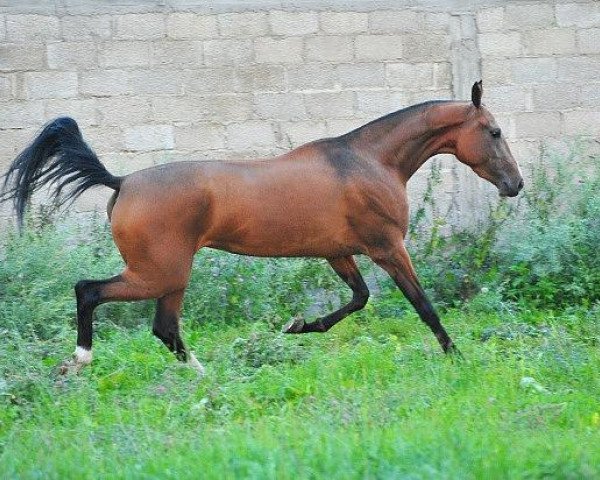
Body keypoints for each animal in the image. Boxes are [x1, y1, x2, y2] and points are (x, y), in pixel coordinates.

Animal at [0, 82, 524, 374]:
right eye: (495, 131)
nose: (515, 184)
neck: (370, 161)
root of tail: (122, 181)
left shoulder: (339, 252)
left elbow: (358, 299)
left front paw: (298, 326)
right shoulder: (388, 248)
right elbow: (423, 306)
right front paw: (457, 357)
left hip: (171, 278)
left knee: (164, 328)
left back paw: (203, 374)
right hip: (158, 274)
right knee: (90, 291)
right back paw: (81, 360)